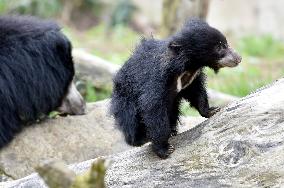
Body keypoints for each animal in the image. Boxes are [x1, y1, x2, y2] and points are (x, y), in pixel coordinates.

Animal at [111, 19, 242, 159]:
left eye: (225, 43)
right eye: (219, 47)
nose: (239, 58)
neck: (188, 67)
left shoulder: (191, 80)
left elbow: (197, 92)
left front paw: (212, 110)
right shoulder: (157, 81)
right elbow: (153, 108)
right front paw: (164, 149)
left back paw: (172, 131)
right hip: (125, 99)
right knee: (130, 119)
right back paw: (141, 139)